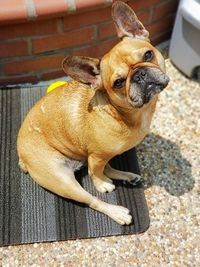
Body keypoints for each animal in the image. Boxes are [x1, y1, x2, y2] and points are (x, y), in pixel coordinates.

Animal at [16, 1, 169, 226]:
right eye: (118, 83)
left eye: (148, 54)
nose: (139, 74)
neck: (124, 113)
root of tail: (21, 156)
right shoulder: (96, 156)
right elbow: (95, 173)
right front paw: (102, 184)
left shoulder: (100, 154)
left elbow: (102, 168)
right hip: (62, 180)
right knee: (92, 199)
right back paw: (117, 212)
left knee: (105, 167)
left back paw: (127, 176)